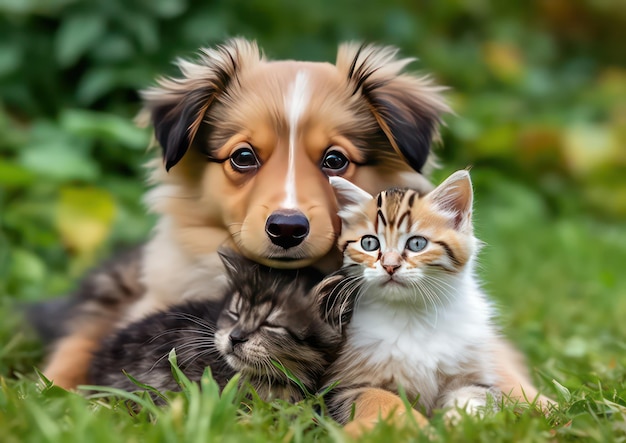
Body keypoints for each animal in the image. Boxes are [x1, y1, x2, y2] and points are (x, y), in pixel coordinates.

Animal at [322, 171, 502, 426]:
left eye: (417, 243)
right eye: (369, 243)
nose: (389, 265)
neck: (413, 313)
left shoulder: (473, 377)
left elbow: (473, 400)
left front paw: (457, 425)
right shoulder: (343, 386)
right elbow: (383, 399)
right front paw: (415, 426)